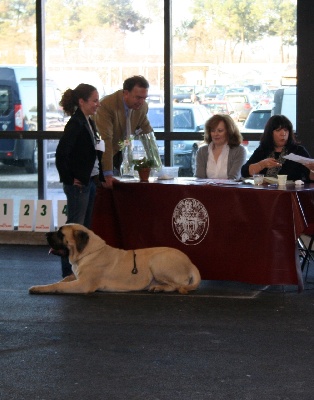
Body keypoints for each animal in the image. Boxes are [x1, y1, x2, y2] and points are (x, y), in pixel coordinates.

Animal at [29, 223, 201, 296]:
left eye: (60, 234)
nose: (46, 234)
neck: (88, 252)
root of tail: (191, 263)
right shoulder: (76, 277)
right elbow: (64, 280)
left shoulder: (83, 284)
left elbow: (59, 286)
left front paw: (39, 288)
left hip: (157, 262)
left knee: (177, 286)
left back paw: (159, 288)